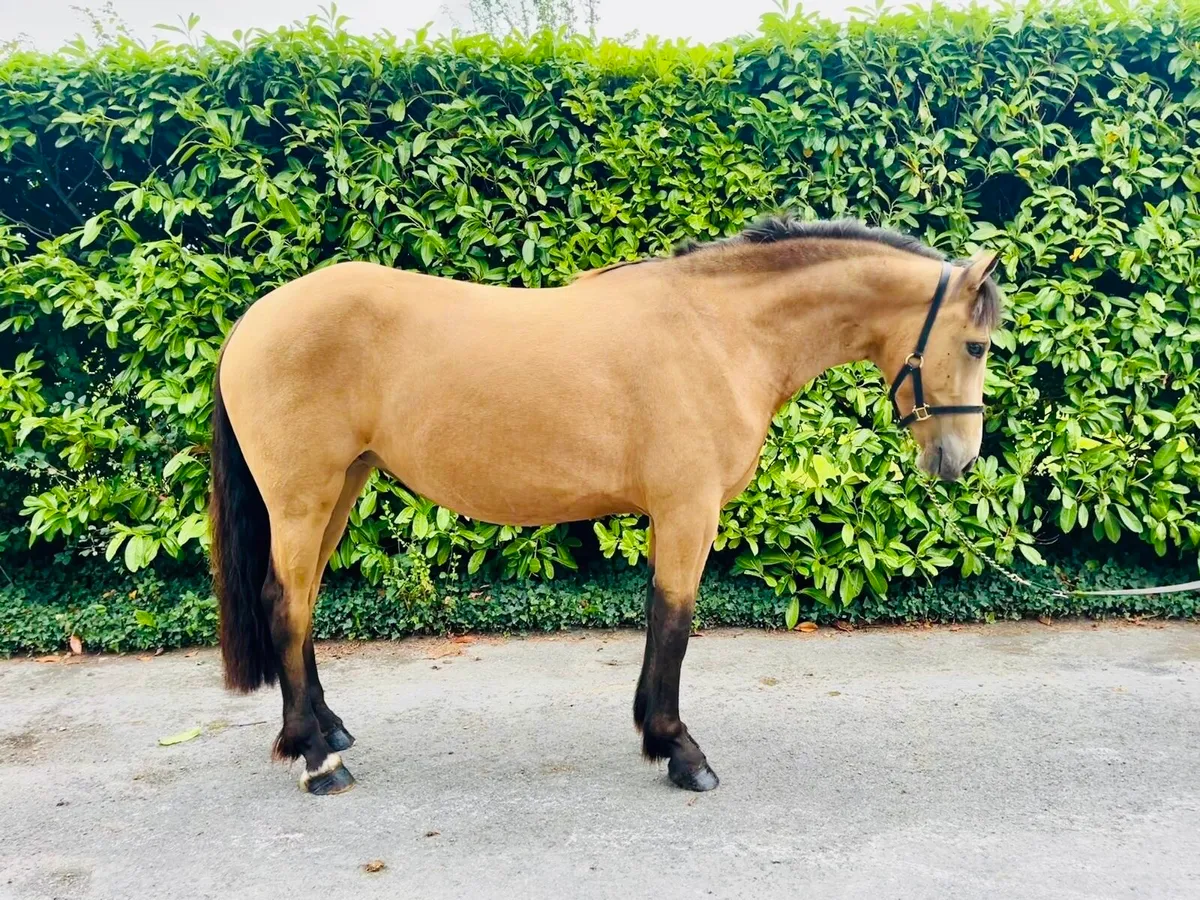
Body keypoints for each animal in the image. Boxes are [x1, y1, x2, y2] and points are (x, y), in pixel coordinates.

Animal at [209, 214, 1002, 795]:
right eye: (977, 344)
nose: (959, 458)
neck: (720, 334)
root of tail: (253, 319)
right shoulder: (688, 509)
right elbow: (673, 620)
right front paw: (680, 751)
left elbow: (660, 619)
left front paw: (657, 736)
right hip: (304, 497)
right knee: (287, 605)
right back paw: (318, 761)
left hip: (342, 487)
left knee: (302, 602)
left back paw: (328, 730)